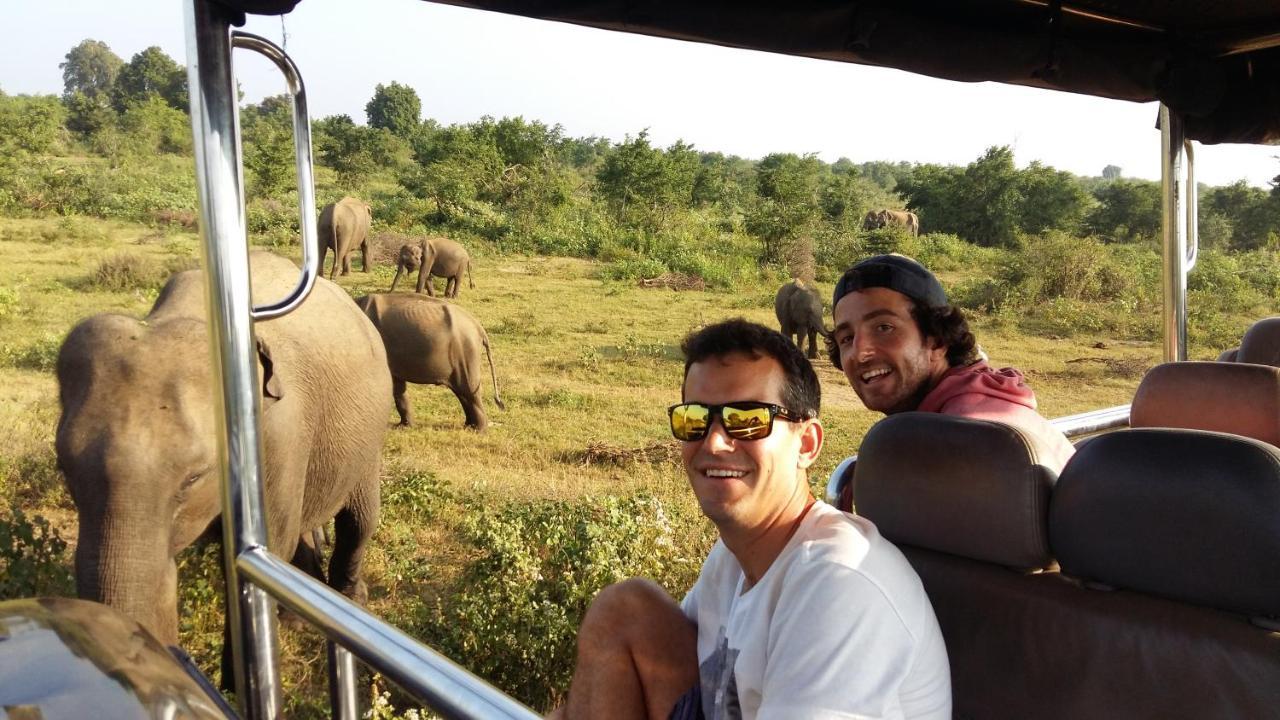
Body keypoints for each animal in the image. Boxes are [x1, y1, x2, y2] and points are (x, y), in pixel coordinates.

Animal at [55, 249, 391, 666]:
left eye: (194, 477)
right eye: (63, 467)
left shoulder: (280, 431)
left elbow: (266, 549)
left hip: (369, 431)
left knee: (358, 521)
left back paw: (351, 602)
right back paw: (297, 617)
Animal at [358, 289, 506, 427]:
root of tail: (479, 328)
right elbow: (398, 386)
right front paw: (404, 427)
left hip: (465, 352)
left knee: (469, 389)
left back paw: (478, 429)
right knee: (462, 392)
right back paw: (469, 426)